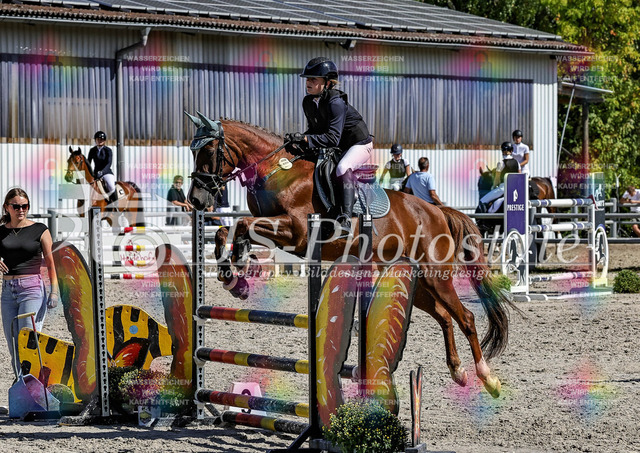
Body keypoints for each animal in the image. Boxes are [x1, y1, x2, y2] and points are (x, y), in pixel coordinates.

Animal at [185, 113, 518, 398]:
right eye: (193, 151)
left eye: (209, 150)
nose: (196, 201)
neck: (279, 171)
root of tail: (437, 211)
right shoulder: (279, 232)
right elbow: (228, 231)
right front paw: (234, 278)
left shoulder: (296, 231)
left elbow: (241, 224)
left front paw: (239, 269)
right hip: (420, 284)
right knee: (445, 317)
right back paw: (458, 371)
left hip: (436, 276)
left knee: (466, 318)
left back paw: (488, 378)